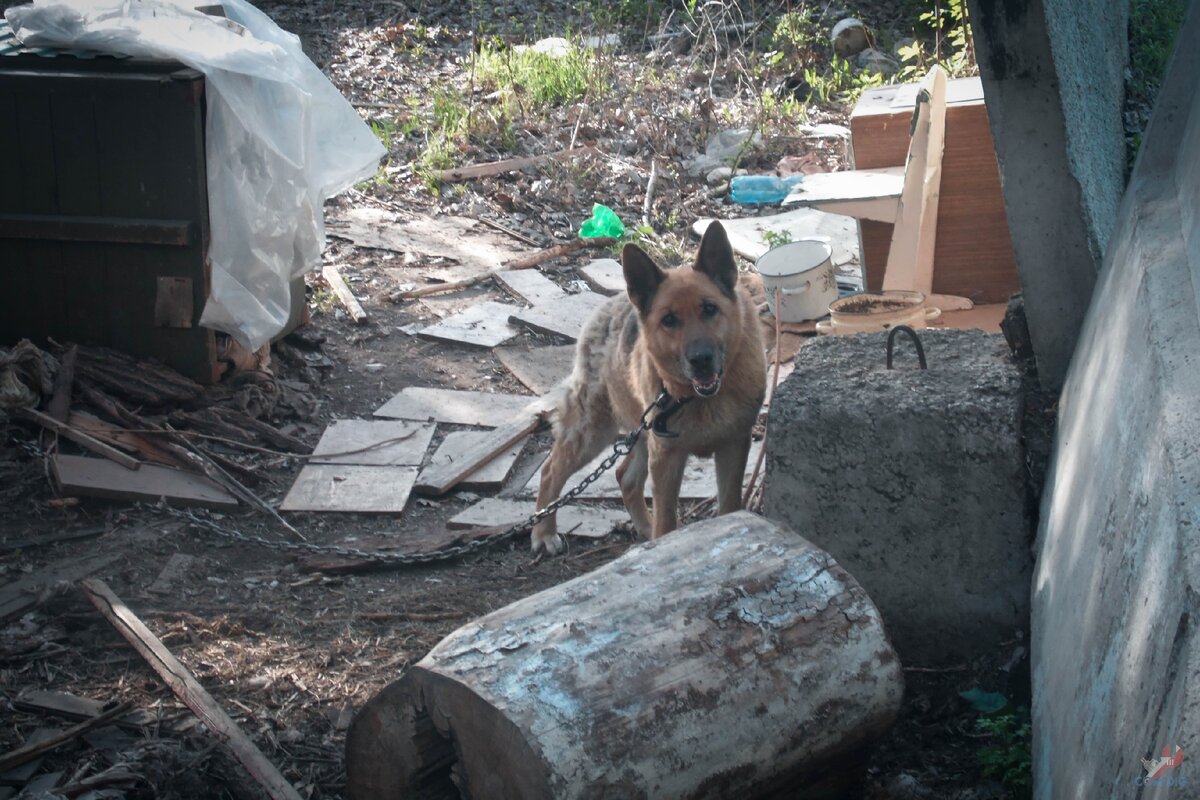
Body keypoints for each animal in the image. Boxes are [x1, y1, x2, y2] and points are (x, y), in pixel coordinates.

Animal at [535, 221, 768, 554]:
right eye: (669, 320)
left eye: (710, 309)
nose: (701, 360)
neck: (696, 399)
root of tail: (611, 304)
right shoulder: (667, 459)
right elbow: (666, 520)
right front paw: (666, 544)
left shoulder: (733, 447)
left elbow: (729, 505)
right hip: (592, 433)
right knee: (550, 470)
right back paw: (543, 532)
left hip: (639, 433)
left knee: (624, 477)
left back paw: (644, 530)